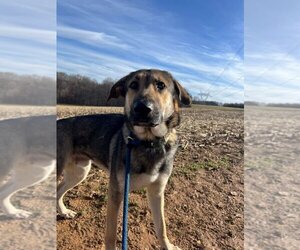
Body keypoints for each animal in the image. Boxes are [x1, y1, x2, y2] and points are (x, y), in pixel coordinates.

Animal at [57, 69, 191, 250]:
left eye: (161, 85)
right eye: (133, 84)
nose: (142, 108)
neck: (148, 142)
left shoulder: (156, 192)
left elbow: (161, 227)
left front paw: (167, 246)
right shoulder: (116, 192)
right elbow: (111, 234)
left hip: (79, 172)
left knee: (58, 190)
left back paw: (64, 212)